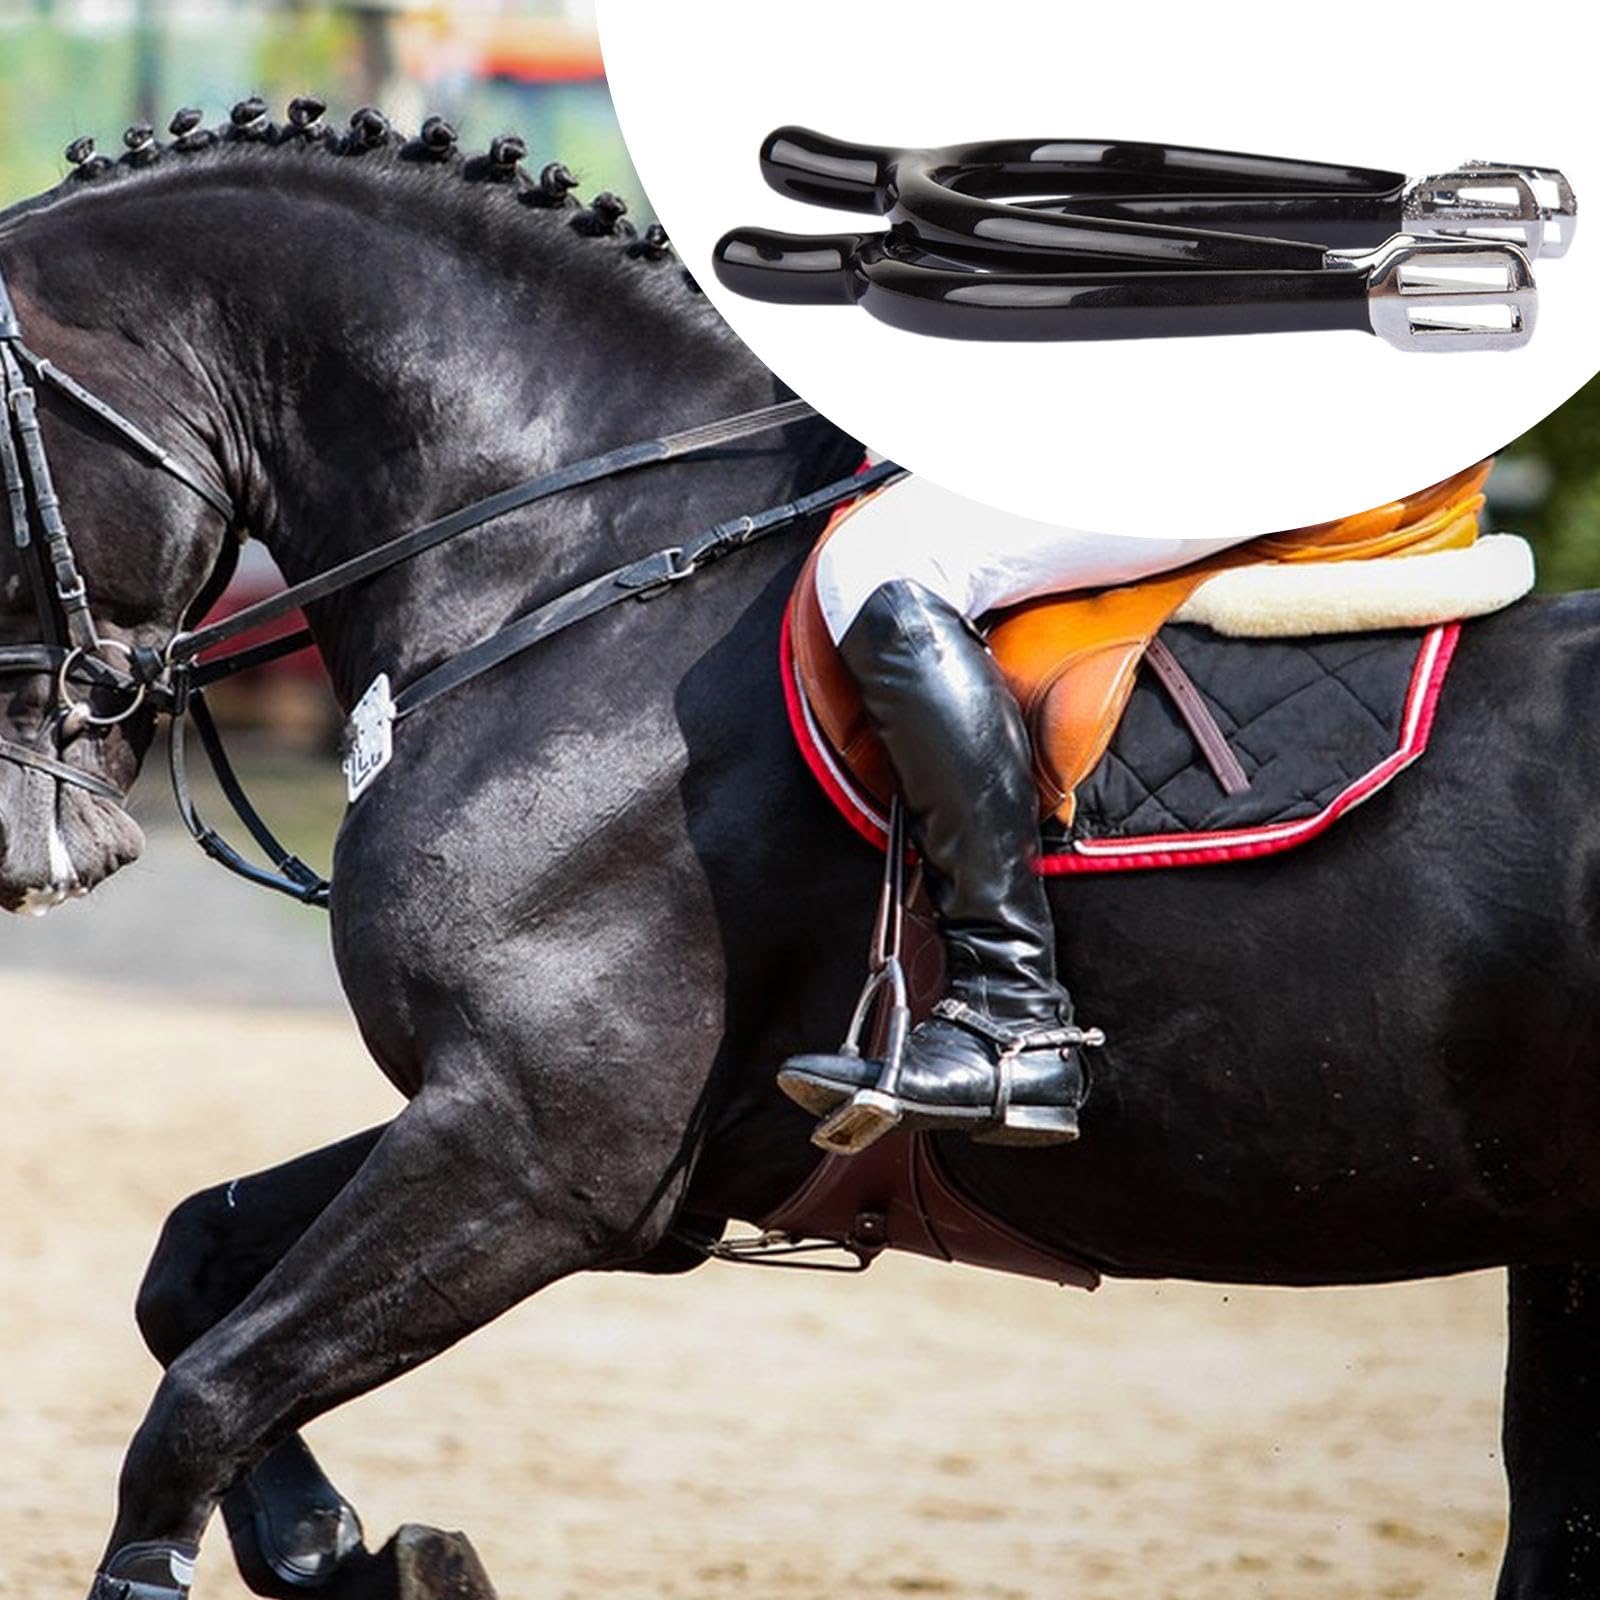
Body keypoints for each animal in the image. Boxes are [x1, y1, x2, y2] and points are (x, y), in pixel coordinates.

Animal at [3, 103, 1599, 1600]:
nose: (36, 843)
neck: (576, 565)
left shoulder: (537, 1154)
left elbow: (200, 1402)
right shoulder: (552, 1132)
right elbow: (187, 1264)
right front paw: (336, 1544)